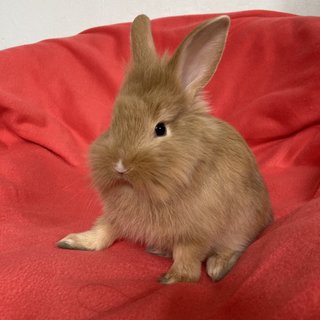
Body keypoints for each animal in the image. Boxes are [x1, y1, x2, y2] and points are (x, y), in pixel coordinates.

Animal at [57, 13, 272, 284]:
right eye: (114, 121)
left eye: (160, 129)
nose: (120, 166)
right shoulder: (116, 216)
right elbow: (104, 230)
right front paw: (73, 241)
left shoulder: (195, 233)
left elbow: (187, 256)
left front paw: (174, 277)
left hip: (242, 227)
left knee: (234, 246)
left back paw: (217, 267)